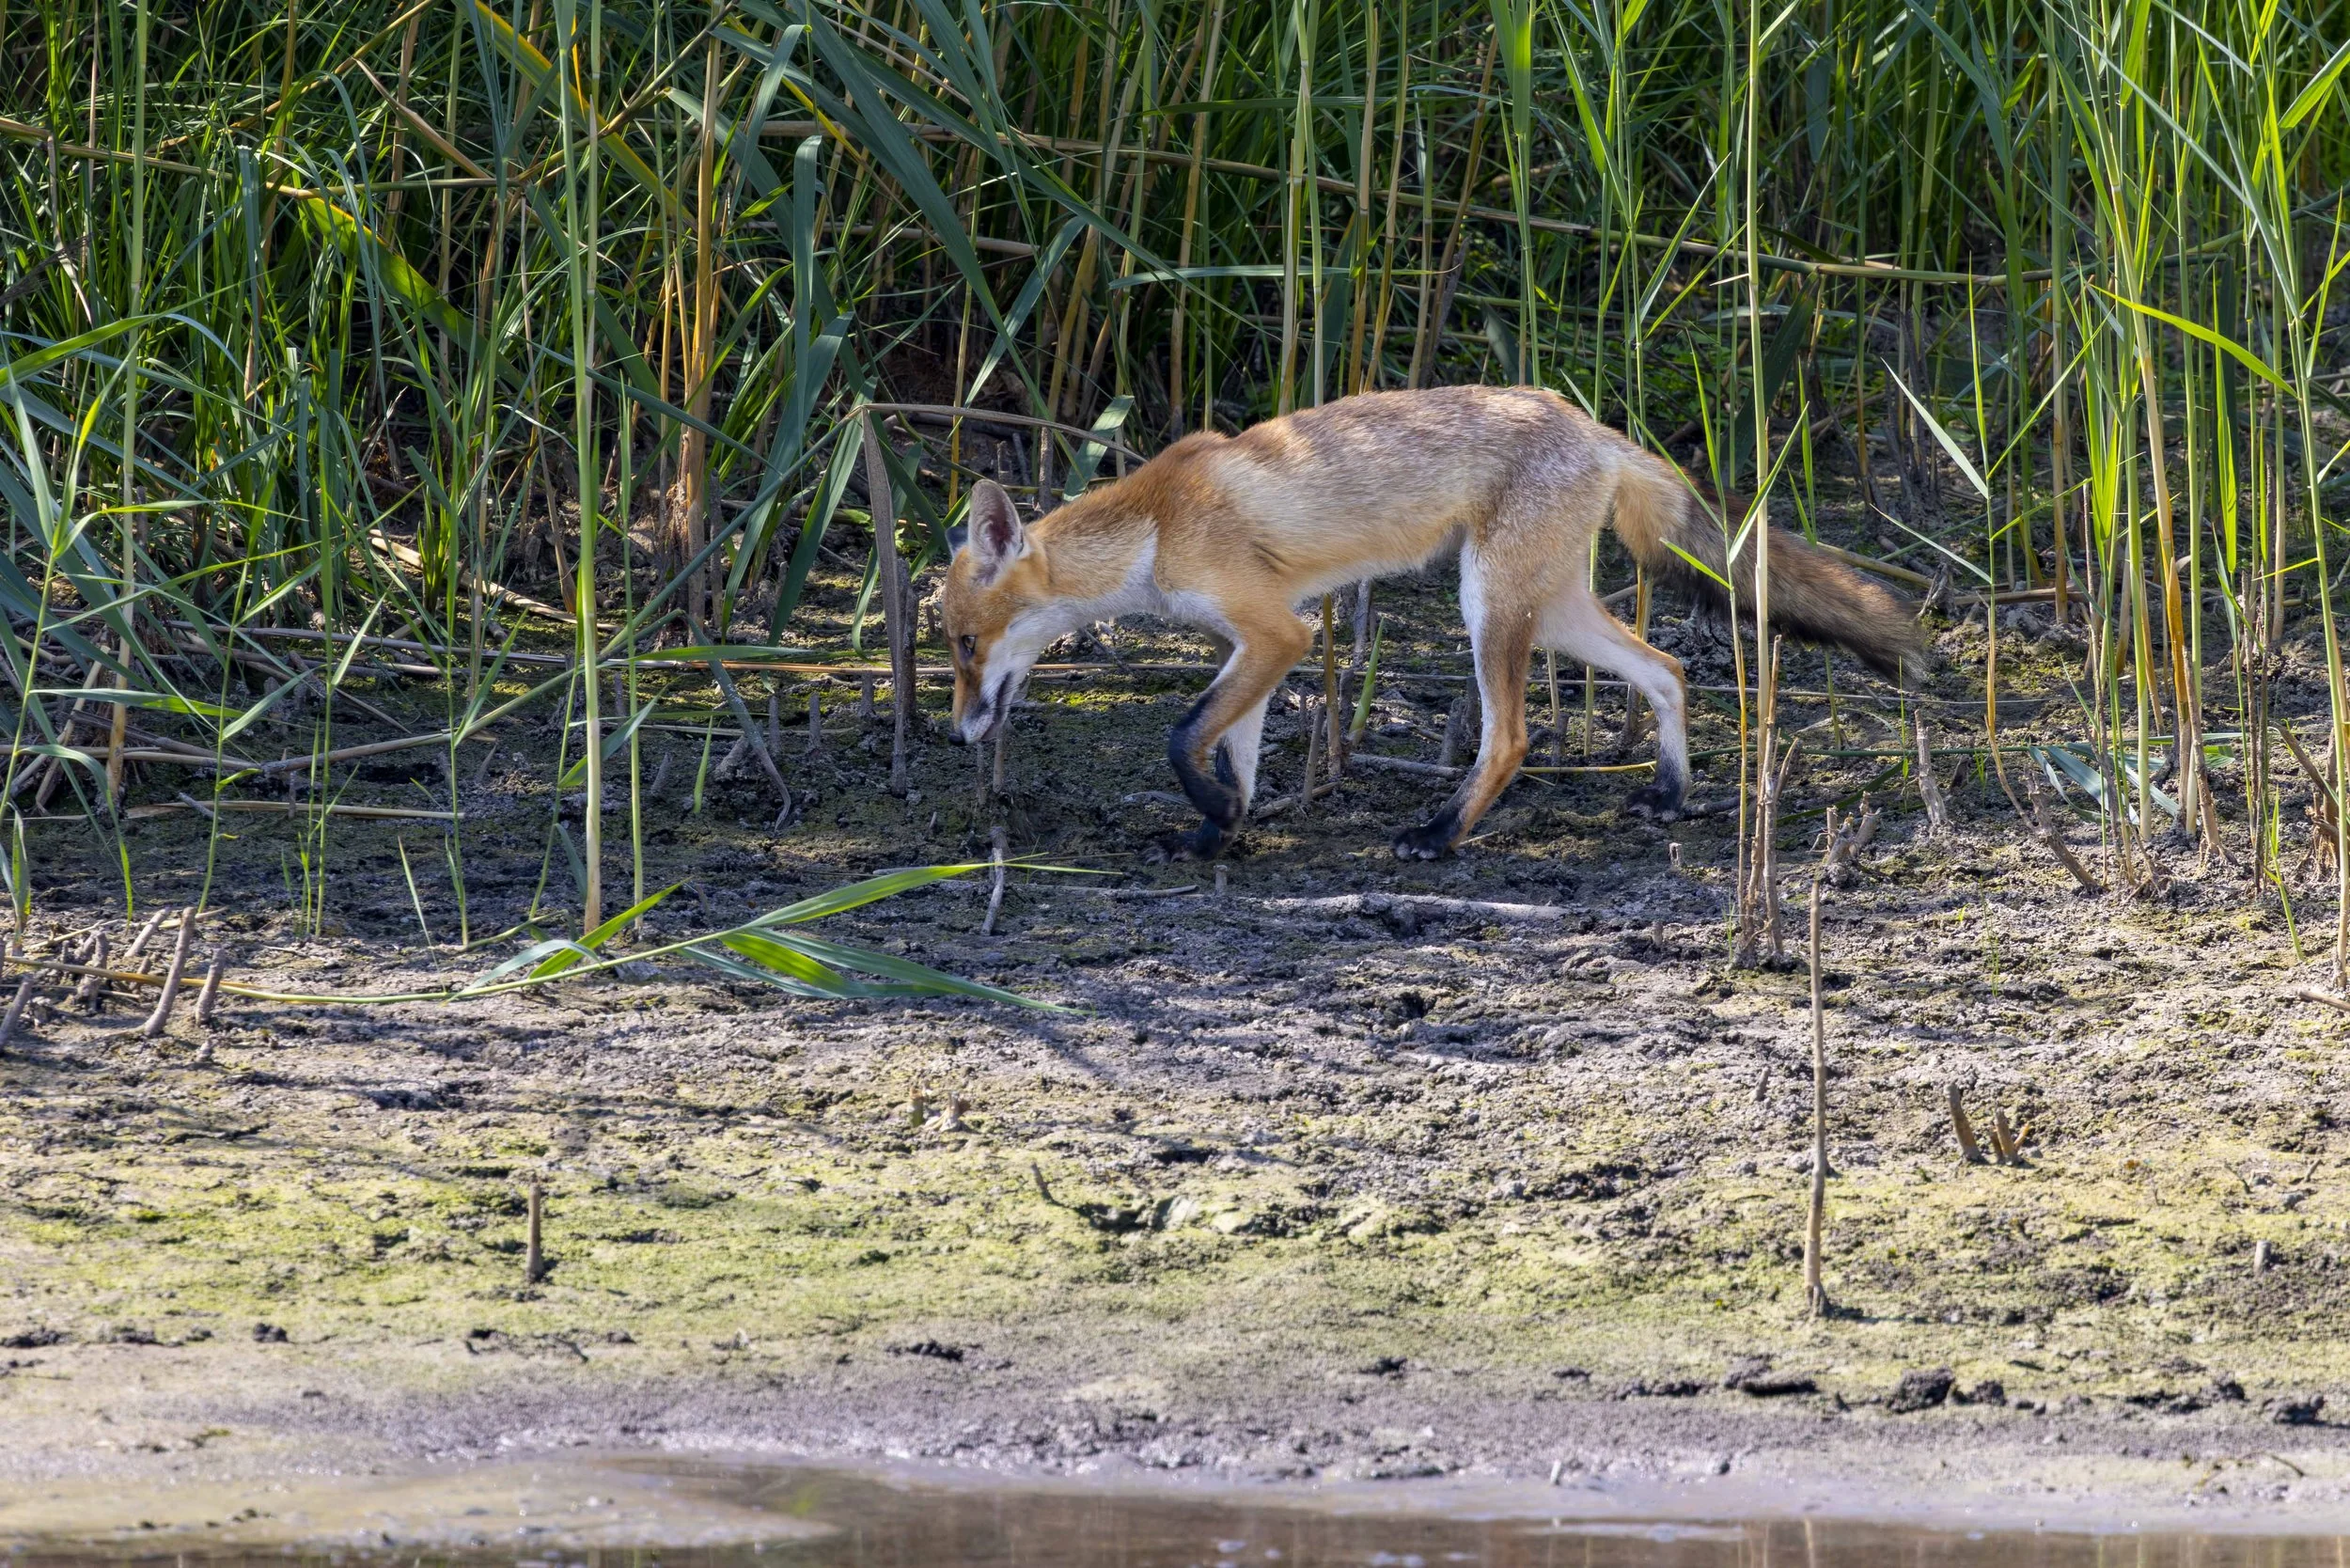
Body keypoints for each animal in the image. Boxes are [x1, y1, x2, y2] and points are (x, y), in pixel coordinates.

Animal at [940, 384, 1924, 860]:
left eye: (961, 643)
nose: (956, 734)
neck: (1155, 525)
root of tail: (1595, 426)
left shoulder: (1279, 633)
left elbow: (1183, 737)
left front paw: (1213, 814)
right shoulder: (1252, 642)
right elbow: (1235, 753)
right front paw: (1220, 830)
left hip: (1488, 605)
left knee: (1512, 738)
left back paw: (1441, 835)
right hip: (1552, 609)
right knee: (1667, 672)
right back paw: (1669, 793)